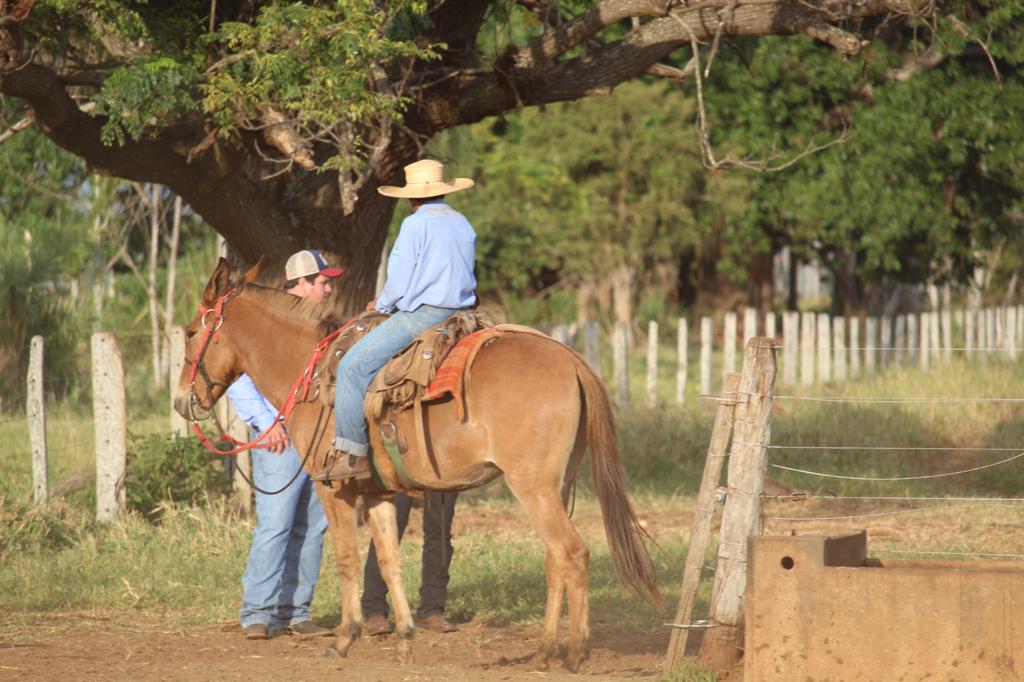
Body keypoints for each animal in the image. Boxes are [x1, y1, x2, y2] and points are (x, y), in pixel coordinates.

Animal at [173, 259, 659, 667]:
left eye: (192, 332)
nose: (181, 401)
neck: (312, 373)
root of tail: (574, 360)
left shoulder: (334, 490)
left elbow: (348, 559)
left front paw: (344, 639)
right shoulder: (378, 492)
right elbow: (389, 561)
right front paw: (405, 636)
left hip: (532, 486)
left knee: (572, 553)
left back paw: (574, 652)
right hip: (556, 486)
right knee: (555, 558)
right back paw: (543, 650)